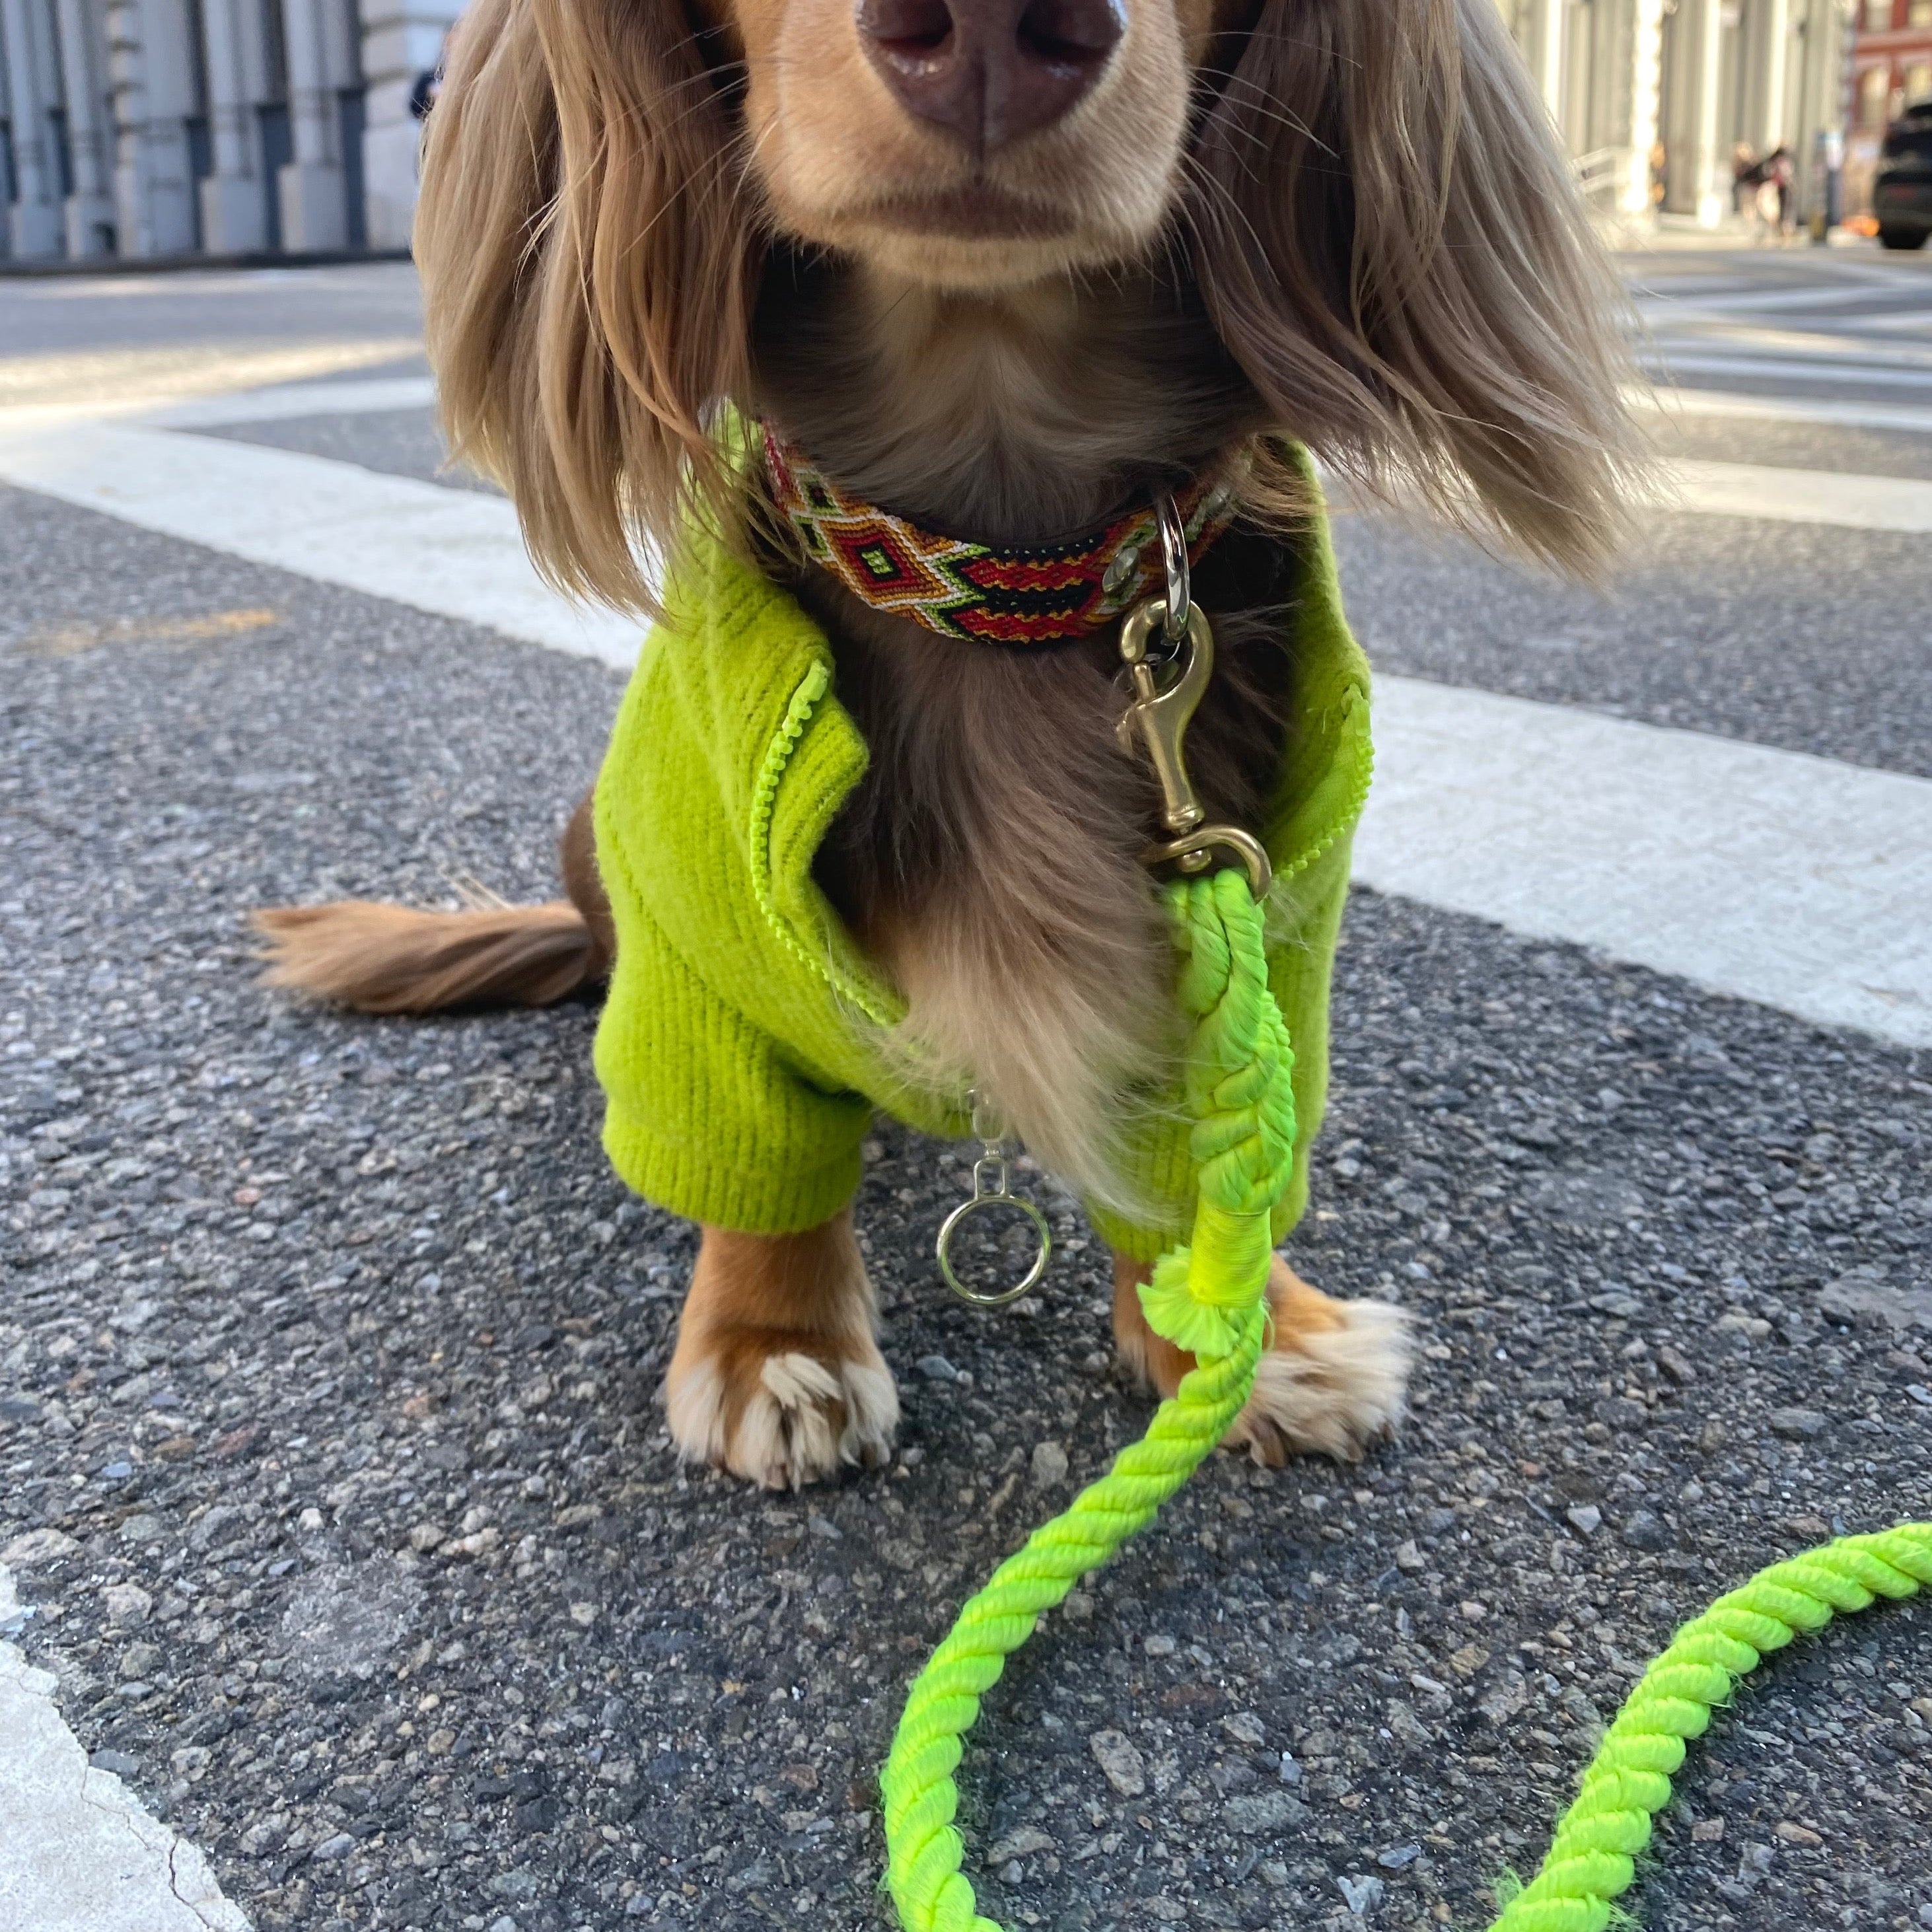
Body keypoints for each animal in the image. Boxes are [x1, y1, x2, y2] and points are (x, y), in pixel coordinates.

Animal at [257, 0, 1638, 1484]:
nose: (990, 30)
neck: (998, 565)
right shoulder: (704, 971)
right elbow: (758, 1166)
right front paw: (771, 1341)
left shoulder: (1256, 935)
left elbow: (1211, 1158)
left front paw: (1249, 1330)